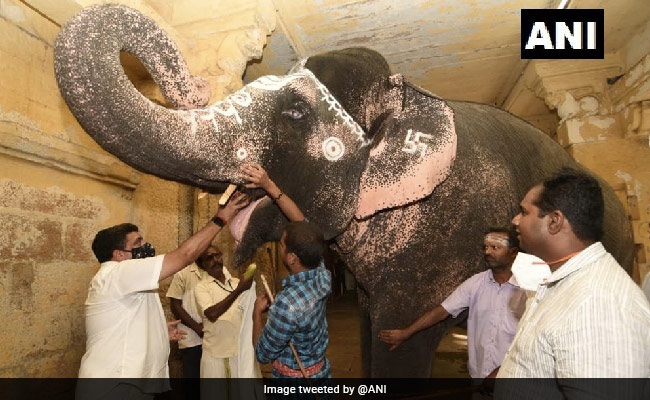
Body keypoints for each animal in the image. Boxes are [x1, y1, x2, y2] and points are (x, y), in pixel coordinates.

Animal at [54, 4, 634, 378]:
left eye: (294, 112)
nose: (193, 85)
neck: (409, 94)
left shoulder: (439, 240)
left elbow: (402, 338)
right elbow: (374, 326)